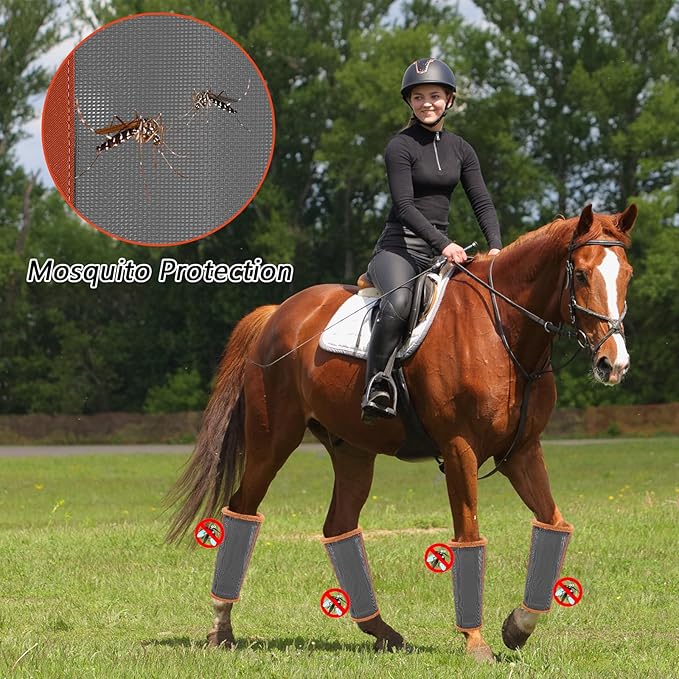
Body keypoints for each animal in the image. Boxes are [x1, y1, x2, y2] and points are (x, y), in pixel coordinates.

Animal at [166, 203, 636, 662]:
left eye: (627, 274)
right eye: (581, 274)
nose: (613, 364)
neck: (502, 332)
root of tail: (276, 315)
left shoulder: (522, 451)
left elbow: (554, 523)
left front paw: (517, 627)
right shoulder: (460, 450)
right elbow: (468, 536)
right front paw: (476, 642)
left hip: (352, 451)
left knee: (338, 527)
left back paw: (382, 632)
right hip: (271, 442)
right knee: (241, 510)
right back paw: (221, 629)